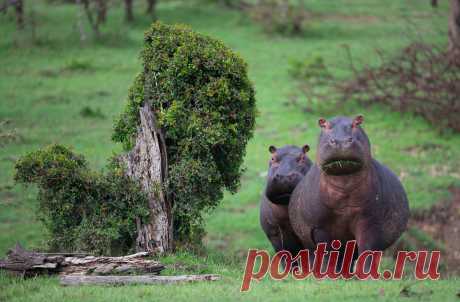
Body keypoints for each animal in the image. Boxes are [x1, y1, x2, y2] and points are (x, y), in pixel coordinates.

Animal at [290, 115, 412, 266]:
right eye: (324, 125)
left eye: (357, 123)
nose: (341, 141)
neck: (345, 184)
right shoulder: (319, 227)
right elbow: (327, 254)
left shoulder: (370, 223)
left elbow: (367, 252)